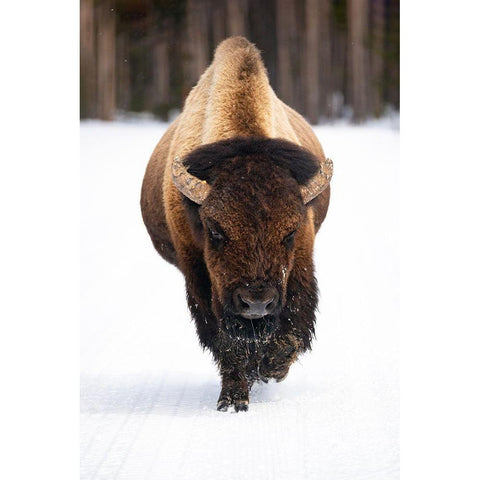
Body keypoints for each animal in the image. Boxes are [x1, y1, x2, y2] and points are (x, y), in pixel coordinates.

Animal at [141, 36, 332, 412]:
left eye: (289, 232)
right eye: (215, 230)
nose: (256, 302)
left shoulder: (301, 261)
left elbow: (291, 329)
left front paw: (271, 369)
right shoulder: (199, 274)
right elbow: (225, 340)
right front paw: (233, 400)